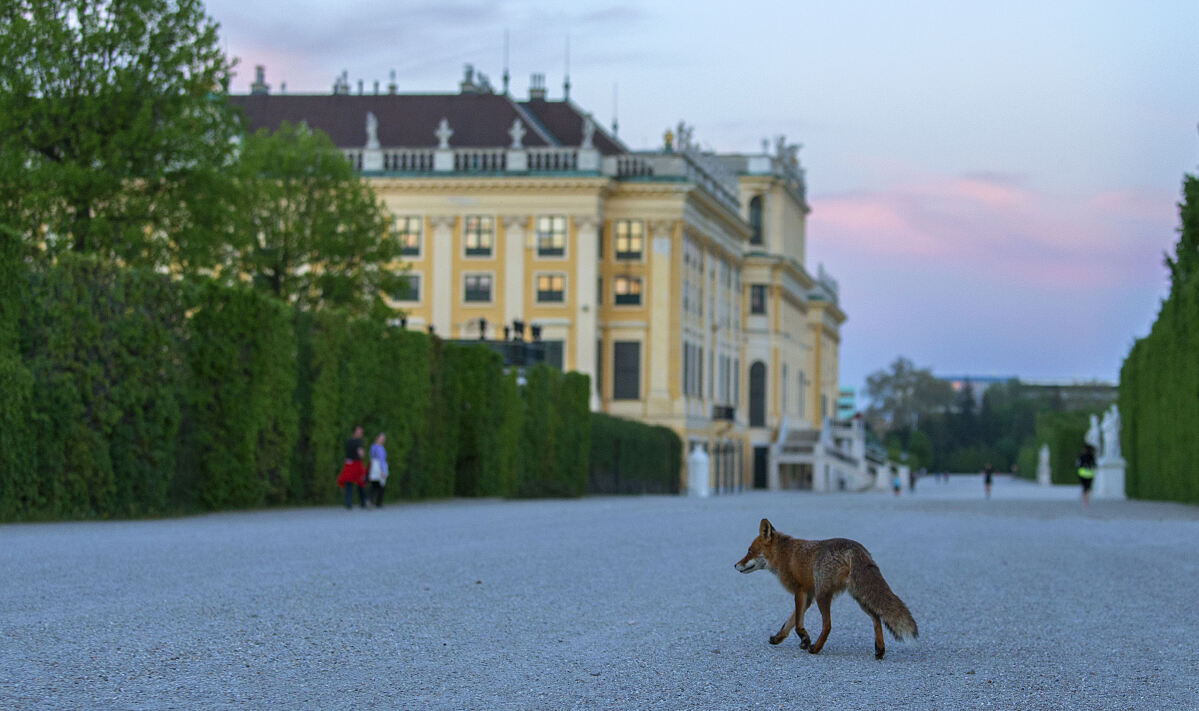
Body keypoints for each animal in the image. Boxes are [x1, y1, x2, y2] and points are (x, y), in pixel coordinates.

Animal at [734, 518, 918, 659]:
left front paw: (805, 640)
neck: (784, 554)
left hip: (823, 596)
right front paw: (779, 638)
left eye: (749, 551)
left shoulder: (801, 591)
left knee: (828, 625)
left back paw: (816, 648)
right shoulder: (808, 596)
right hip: (859, 596)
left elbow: (797, 623)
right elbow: (789, 622)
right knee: (876, 618)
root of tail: (856, 548)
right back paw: (879, 649)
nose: (735, 565)